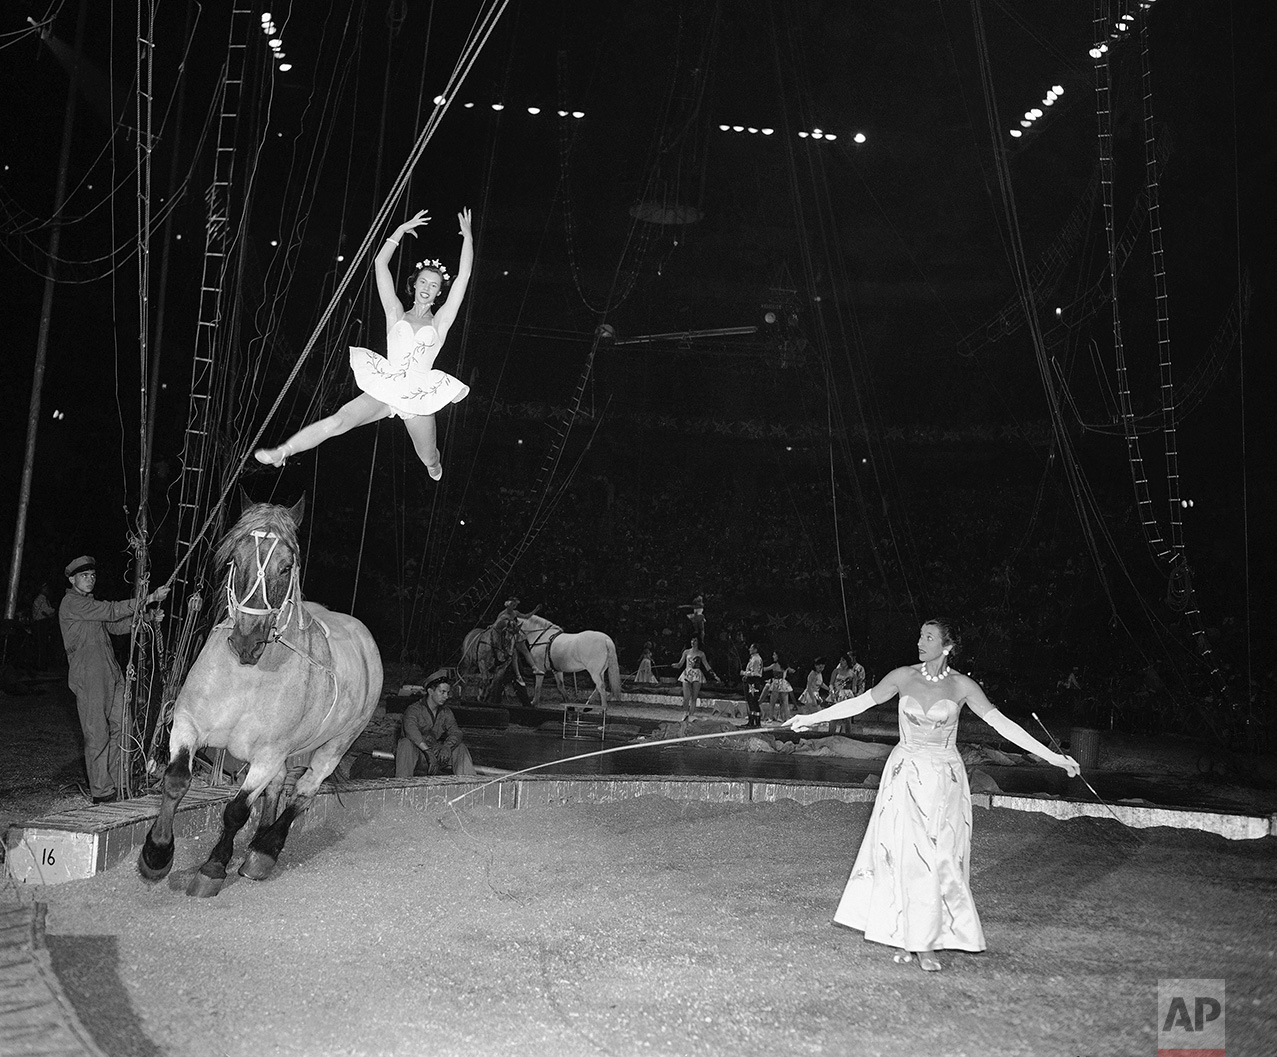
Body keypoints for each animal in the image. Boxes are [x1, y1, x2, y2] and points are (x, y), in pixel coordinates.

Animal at [139, 500, 380, 893]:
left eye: (286, 565)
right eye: (235, 559)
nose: (246, 641)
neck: (245, 679)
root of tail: (363, 637)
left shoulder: (268, 754)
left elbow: (237, 810)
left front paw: (213, 868)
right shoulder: (188, 725)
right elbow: (176, 781)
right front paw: (157, 854)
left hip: (336, 744)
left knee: (304, 792)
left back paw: (265, 852)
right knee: (279, 787)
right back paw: (258, 842)